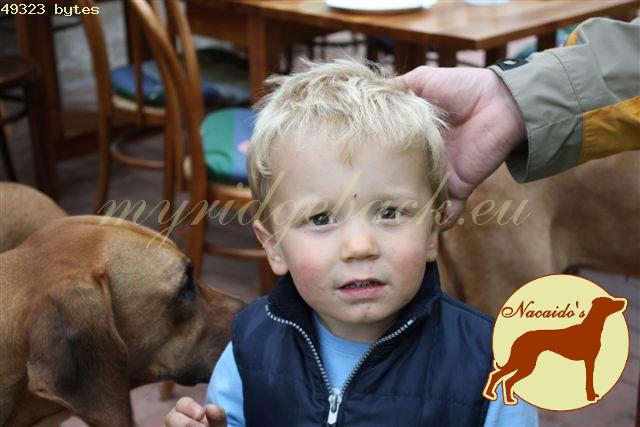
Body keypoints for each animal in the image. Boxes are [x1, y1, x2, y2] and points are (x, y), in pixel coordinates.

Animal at [482, 296, 626, 404]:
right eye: (610, 301)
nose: (624, 302)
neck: (591, 328)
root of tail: (519, 338)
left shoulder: (589, 361)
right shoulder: (589, 361)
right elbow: (589, 381)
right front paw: (591, 397)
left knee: (503, 379)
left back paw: (503, 397)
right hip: (524, 363)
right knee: (501, 378)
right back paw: (497, 396)